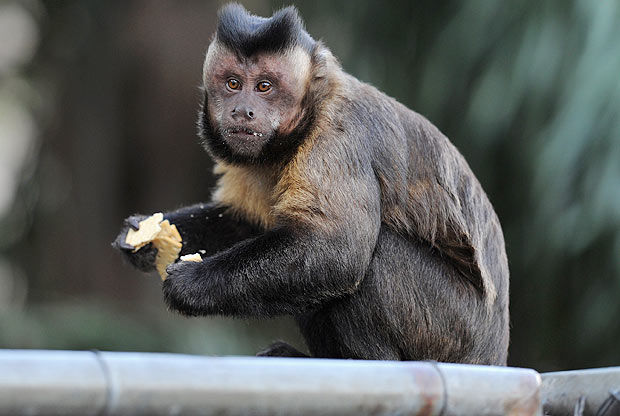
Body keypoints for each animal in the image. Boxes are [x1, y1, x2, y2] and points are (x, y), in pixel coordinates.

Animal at [114, 4, 512, 366]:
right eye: (232, 83)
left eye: (264, 86)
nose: (242, 110)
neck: (305, 120)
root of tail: (493, 354)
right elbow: (248, 222)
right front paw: (145, 238)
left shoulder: (338, 135)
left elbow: (336, 250)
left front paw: (191, 284)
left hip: (454, 333)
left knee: (374, 255)